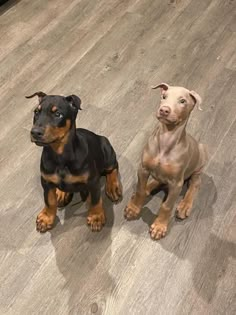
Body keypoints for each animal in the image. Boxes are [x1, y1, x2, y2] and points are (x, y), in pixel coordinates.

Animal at [26, 91, 121, 232]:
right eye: (36, 112)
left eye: (58, 114)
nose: (35, 132)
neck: (60, 156)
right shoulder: (46, 181)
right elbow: (49, 200)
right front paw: (46, 218)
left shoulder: (93, 181)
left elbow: (95, 199)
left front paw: (96, 217)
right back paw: (61, 193)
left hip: (107, 152)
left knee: (113, 168)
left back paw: (113, 187)